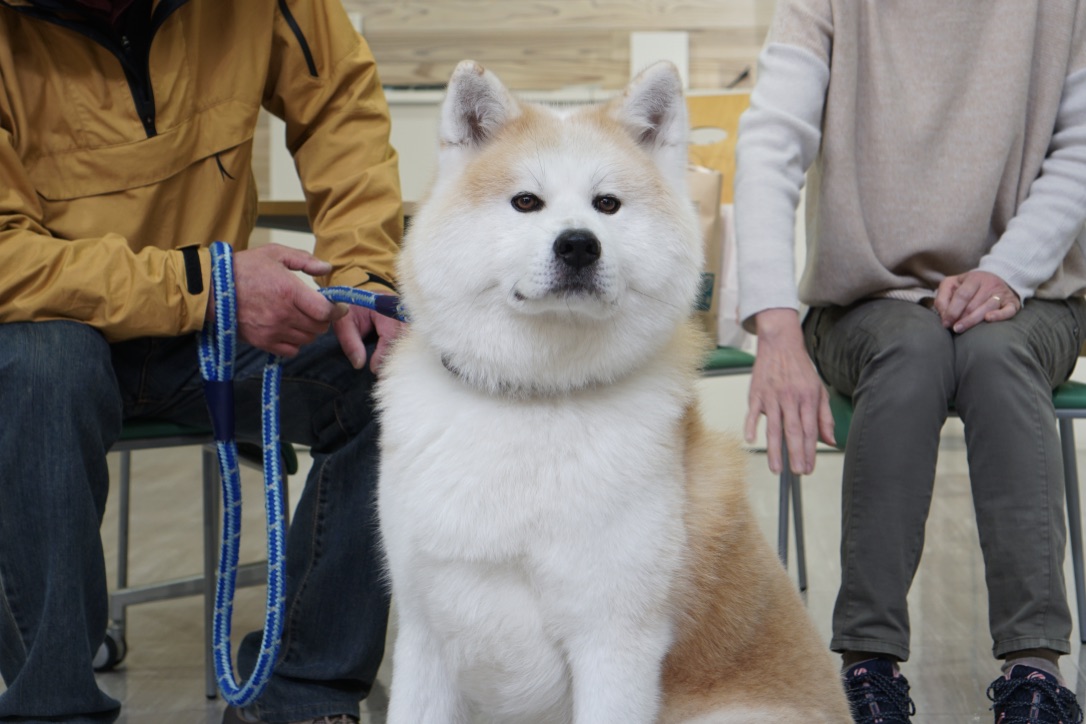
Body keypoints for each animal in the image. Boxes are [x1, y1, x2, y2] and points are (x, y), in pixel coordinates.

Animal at [377, 62, 851, 724]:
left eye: (607, 204)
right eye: (526, 201)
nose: (579, 243)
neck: (536, 398)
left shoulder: (615, 643)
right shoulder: (424, 636)